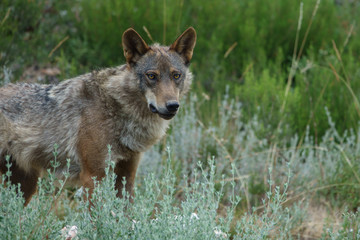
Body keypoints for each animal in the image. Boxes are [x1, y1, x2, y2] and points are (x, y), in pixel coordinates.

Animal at [0, 27, 197, 204]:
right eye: (152, 76)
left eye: (176, 75)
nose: (172, 106)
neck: (117, 107)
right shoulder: (92, 177)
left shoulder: (126, 175)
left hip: (25, 186)